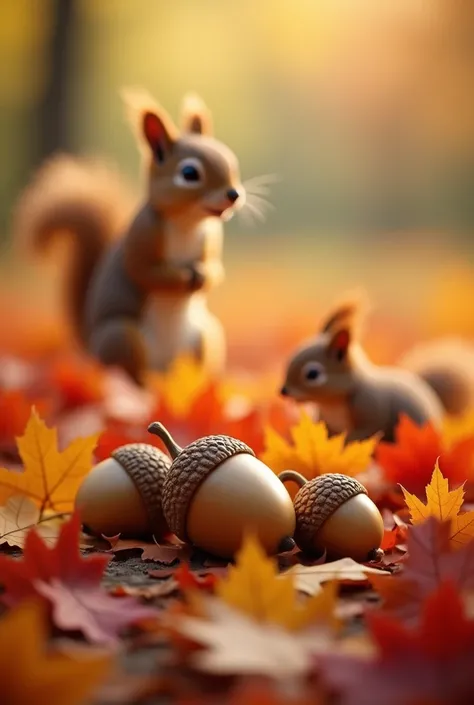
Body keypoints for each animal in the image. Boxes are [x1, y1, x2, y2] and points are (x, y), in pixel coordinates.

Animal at [12, 89, 246, 384]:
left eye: (232, 162)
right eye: (189, 173)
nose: (233, 194)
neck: (188, 223)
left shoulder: (211, 238)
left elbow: (216, 270)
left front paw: (204, 276)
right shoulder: (142, 235)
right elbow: (143, 272)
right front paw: (182, 278)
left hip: (205, 338)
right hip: (122, 338)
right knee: (131, 375)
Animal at [280, 294, 474, 442]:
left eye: (313, 374)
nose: (284, 391)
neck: (332, 404)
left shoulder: (371, 407)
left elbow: (365, 432)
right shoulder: (326, 421)